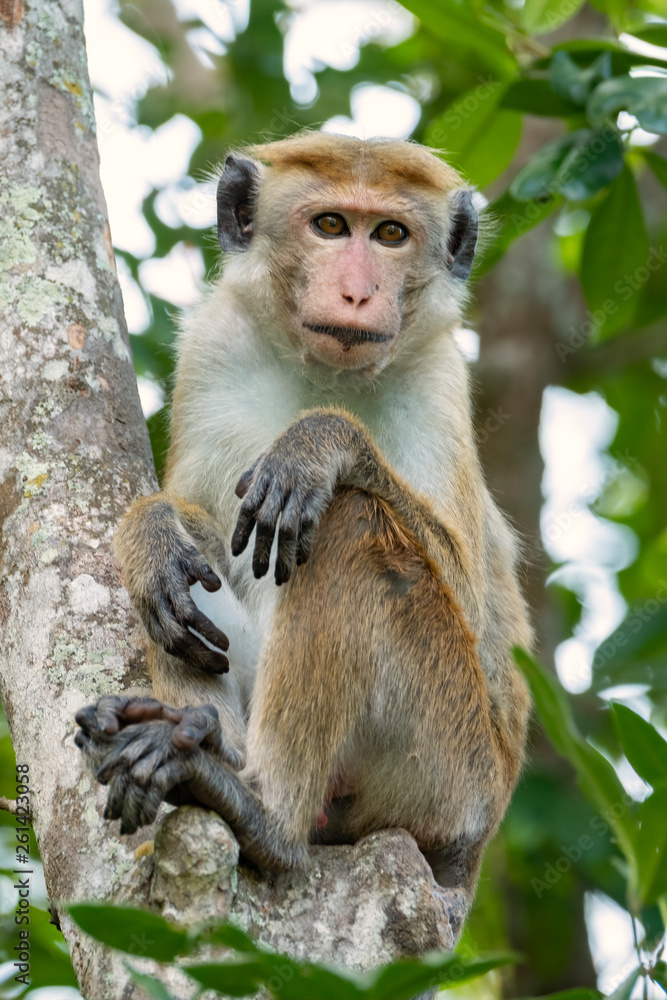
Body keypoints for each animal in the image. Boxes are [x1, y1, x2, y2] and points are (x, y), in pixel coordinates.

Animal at [75, 131, 532, 898]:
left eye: (390, 235)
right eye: (329, 226)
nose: (356, 292)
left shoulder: (440, 379)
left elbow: (474, 607)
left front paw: (320, 442)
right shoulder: (214, 346)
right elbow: (192, 521)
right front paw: (150, 533)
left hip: (450, 774)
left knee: (353, 526)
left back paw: (264, 814)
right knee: (190, 595)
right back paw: (200, 738)